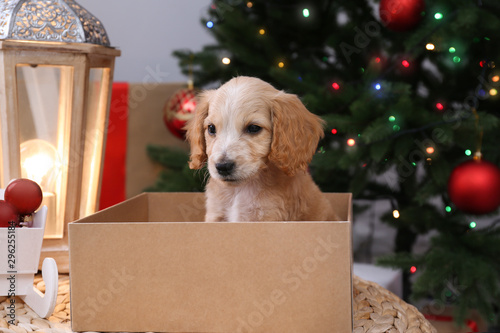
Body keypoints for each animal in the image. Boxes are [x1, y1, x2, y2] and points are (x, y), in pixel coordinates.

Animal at [186, 76, 338, 222]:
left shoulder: (268, 217)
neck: (240, 191)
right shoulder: (215, 215)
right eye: (211, 128)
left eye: (253, 128)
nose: (223, 167)